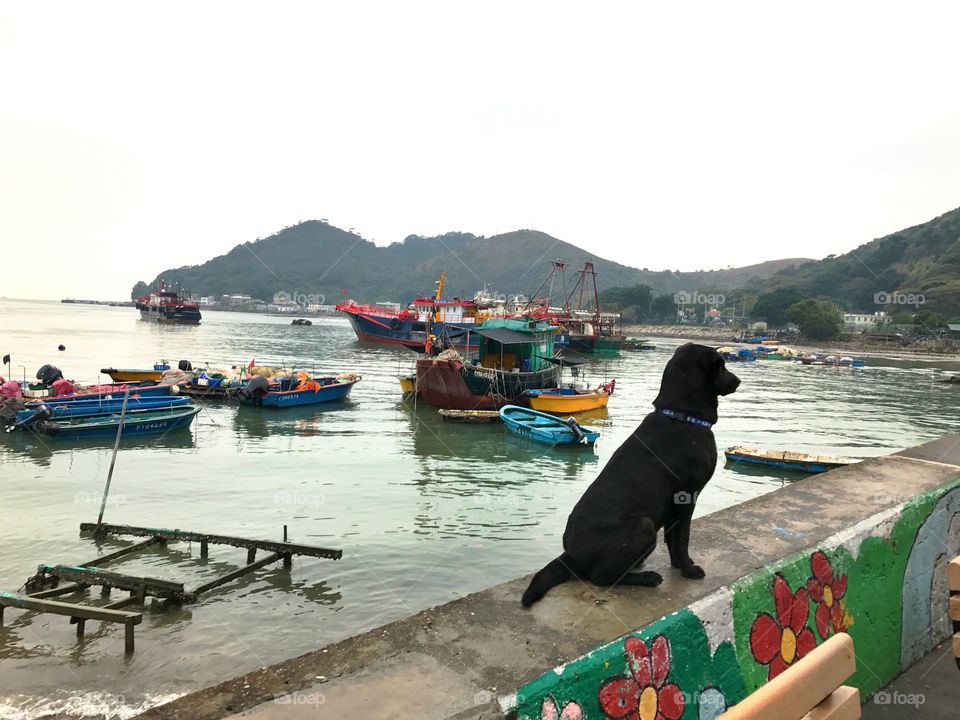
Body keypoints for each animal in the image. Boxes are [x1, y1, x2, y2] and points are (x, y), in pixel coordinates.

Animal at [520, 346, 740, 604]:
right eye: (721, 366)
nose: (738, 380)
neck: (681, 416)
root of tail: (571, 556)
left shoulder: (674, 506)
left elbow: (673, 539)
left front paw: (679, 565)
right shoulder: (687, 496)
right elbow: (682, 538)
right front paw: (688, 570)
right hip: (644, 525)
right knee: (601, 577)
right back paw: (647, 577)